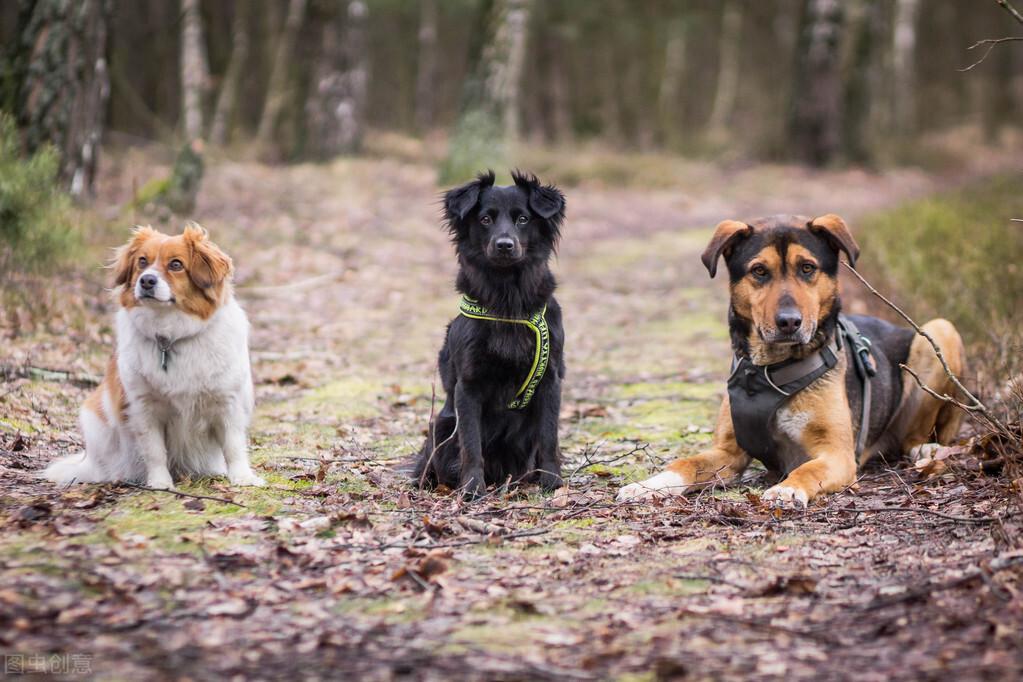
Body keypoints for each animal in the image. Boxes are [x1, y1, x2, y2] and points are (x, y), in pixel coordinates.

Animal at [43, 226, 263, 488]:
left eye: (176, 264)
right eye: (142, 262)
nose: (146, 280)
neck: (170, 337)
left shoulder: (228, 403)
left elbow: (233, 446)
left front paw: (242, 477)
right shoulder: (144, 408)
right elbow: (155, 451)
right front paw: (160, 483)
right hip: (95, 420)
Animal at [409, 169, 568, 501]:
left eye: (523, 219)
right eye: (485, 219)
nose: (505, 244)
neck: (507, 300)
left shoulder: (549, 380)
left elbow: (549, 436)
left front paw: (552, 482)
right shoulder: (468, 386)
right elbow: (471, 444)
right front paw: (471, 488)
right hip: (441, 426)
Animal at [617, 213, 961, 507]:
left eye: (807, 268)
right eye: (759, 271)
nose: (789, 322)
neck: (769, 372)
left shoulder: (836, 454)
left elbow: (807, 469)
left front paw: (787, 489)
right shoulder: (728, 452)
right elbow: (686, 462)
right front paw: (649, 484)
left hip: (941, 330)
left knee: (916, 435)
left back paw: (926, 448)